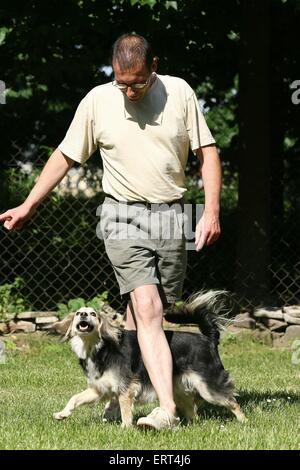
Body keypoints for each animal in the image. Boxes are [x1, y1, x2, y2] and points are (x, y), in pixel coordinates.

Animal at [53, 290, 246, 426]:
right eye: (78, 313)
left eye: (93, 314)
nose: (83, 315)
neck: (99, 347)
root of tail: (208, 339)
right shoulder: (98, 389)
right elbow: (75, 398)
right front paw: (63, 413)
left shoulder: (126, 388)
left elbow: (125, 411)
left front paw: (125, 429)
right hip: (179, 390)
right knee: (192, 411)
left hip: (208, 387)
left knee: (232, 402)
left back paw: (244, 421)